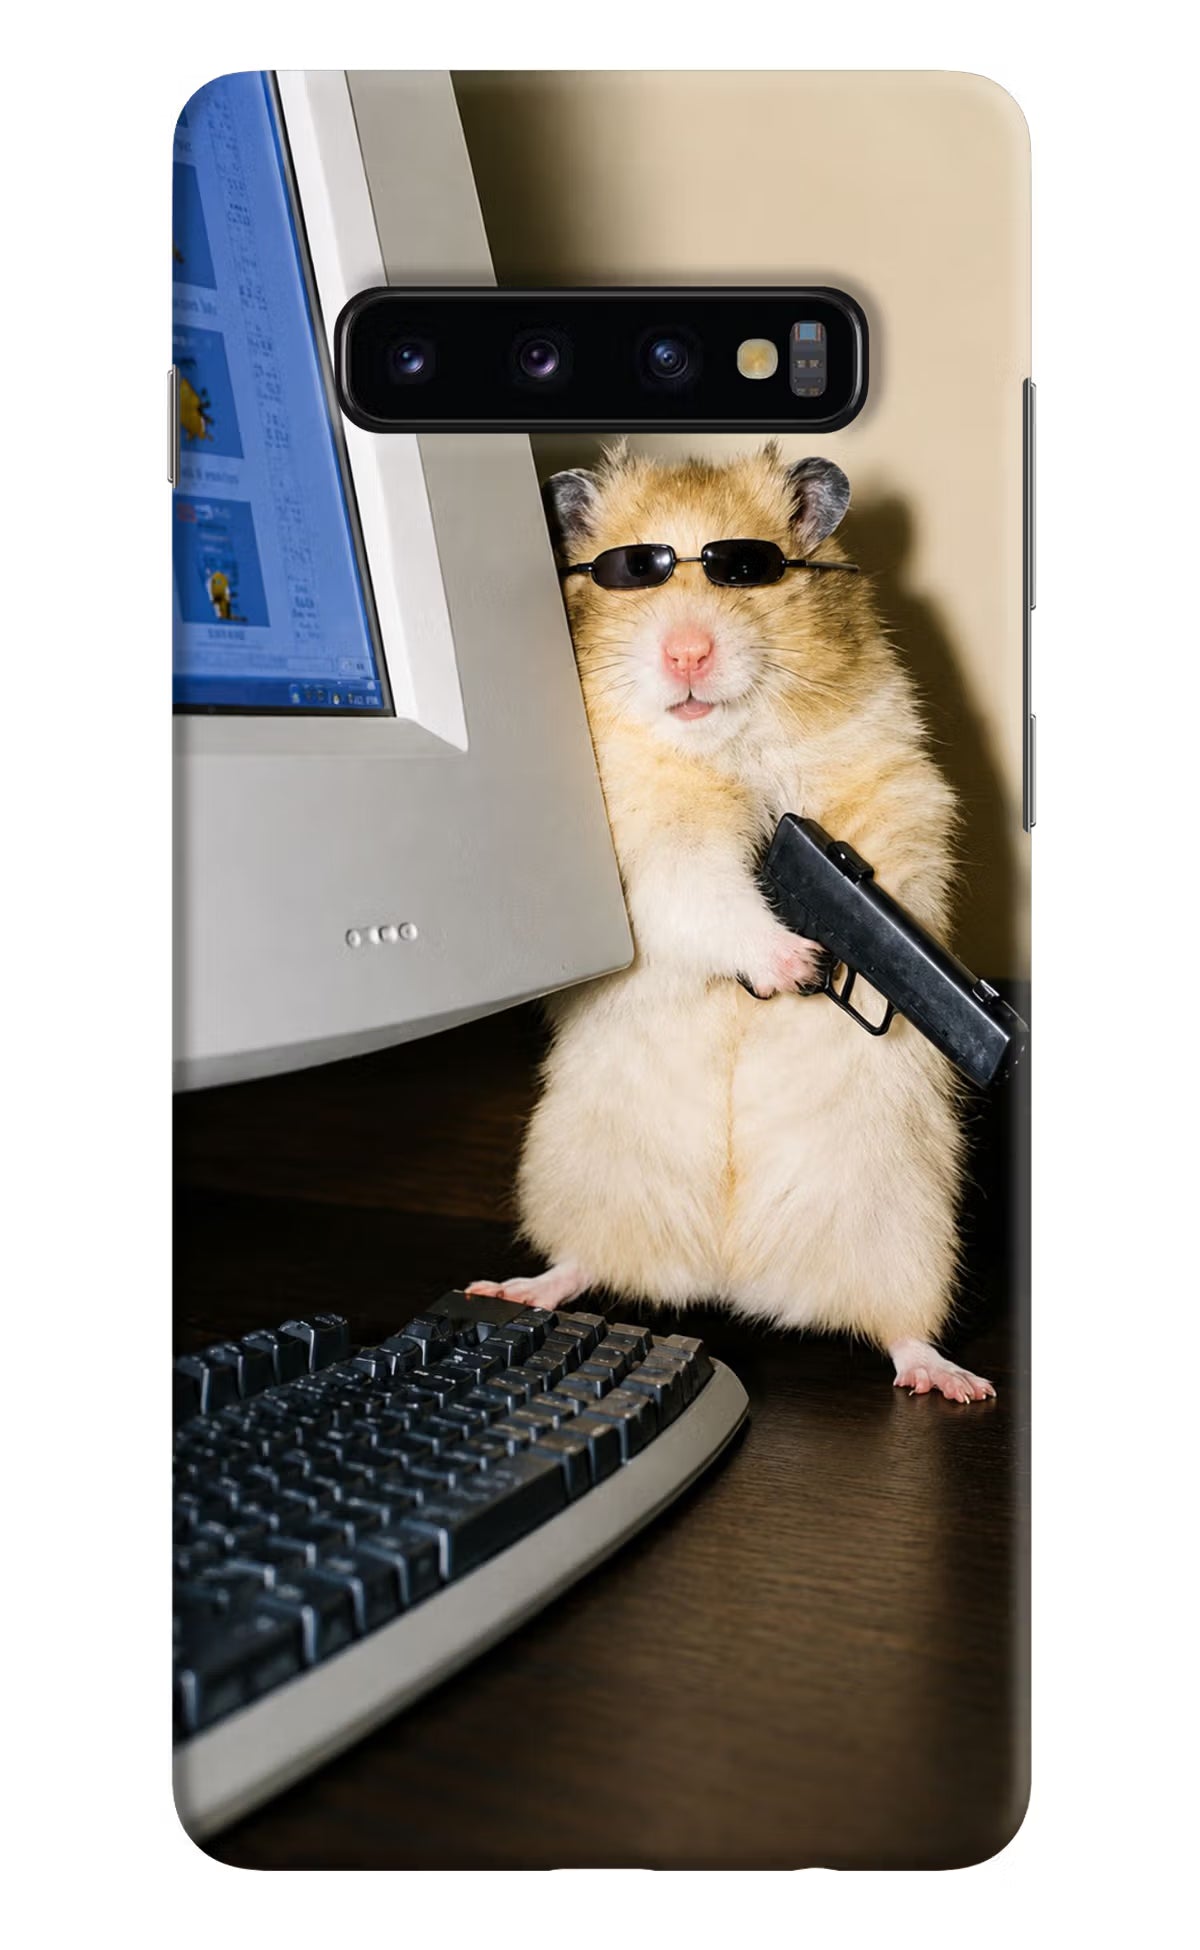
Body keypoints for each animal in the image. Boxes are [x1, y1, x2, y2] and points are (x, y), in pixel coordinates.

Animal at [468, 443, 993, 1402]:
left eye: (746, 570)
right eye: (632, 572)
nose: (686, 652)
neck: (725, 746)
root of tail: (730, 1276)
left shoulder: (895, 790)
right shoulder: (649, 850)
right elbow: (707, 895)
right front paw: (796, 964)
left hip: (907, 1229)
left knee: (900, 1329)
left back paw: (954, 1382)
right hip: (578, 1176)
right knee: (582, 1263)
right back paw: (514, 1288)